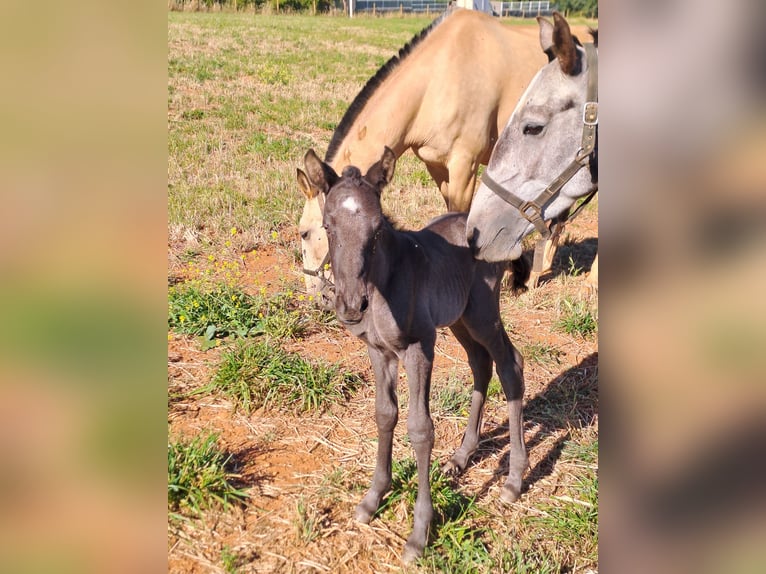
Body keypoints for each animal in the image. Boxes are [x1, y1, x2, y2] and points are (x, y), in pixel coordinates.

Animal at [296, 148, 532, 568]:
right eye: (327, 226)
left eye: (377, 230)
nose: (351, 306)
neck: (385, 282)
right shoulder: (379, 352)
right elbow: (384, 414)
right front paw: (373, 498)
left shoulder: (419, 349)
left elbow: (421, 429)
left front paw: (419, 532)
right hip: (459, 318)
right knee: (480, 364)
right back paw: (461, 457)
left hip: (483, 313)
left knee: (510, 366)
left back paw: (513, 480)